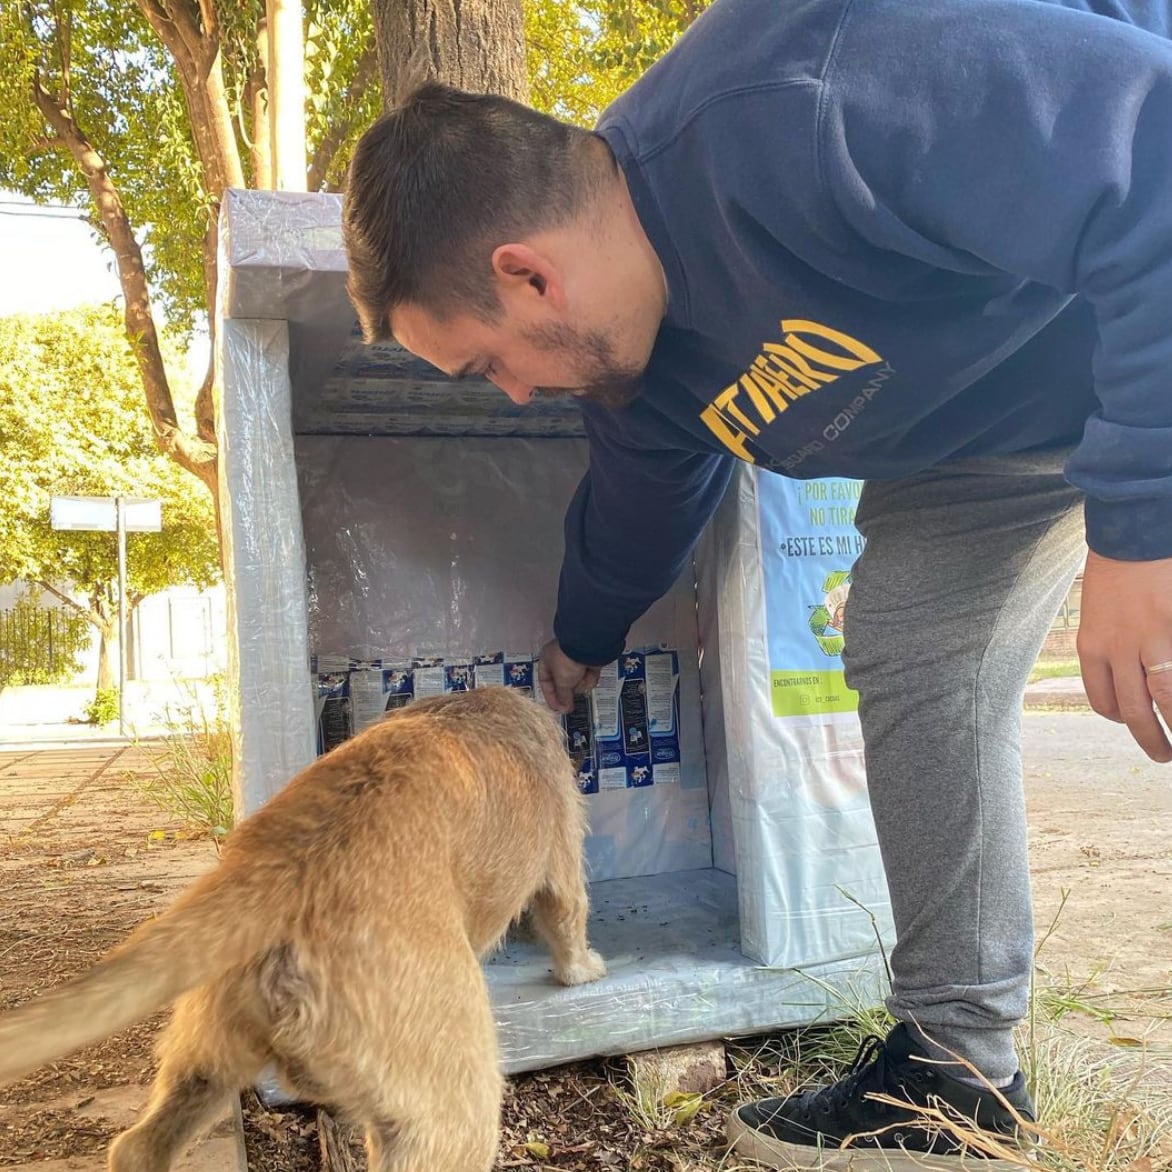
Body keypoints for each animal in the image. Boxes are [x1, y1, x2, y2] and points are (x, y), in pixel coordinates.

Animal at [0, 684, 609, 1172]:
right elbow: (568, 917)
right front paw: (584, 970)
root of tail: (279, 871)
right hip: (450, 1106)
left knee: (138, 1145)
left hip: (207, 1057)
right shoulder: (561, 856)